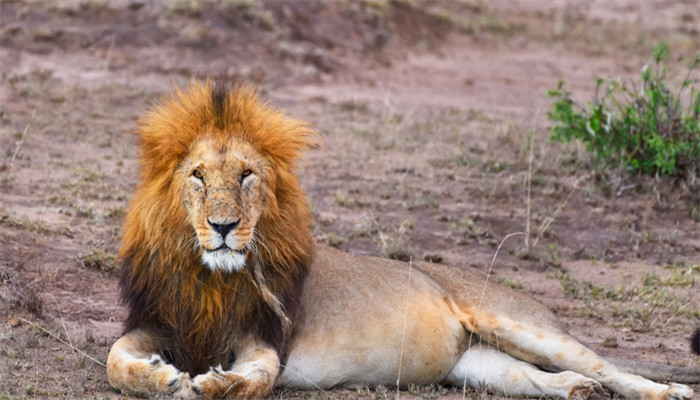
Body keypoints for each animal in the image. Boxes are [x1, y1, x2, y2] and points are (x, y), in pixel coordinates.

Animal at [106, 81, 696, 400]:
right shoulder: (155, 322)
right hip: (479, 366)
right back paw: (574, 390)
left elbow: (251, 380)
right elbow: (116, 360)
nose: (224, 227)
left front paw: (210, 382)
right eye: (198, 177)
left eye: (247, 175)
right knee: (544, 378)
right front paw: (159, 377)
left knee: (605, 365)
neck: (206, 276)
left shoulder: (266, 342)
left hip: (517, 323)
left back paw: (666, 390)